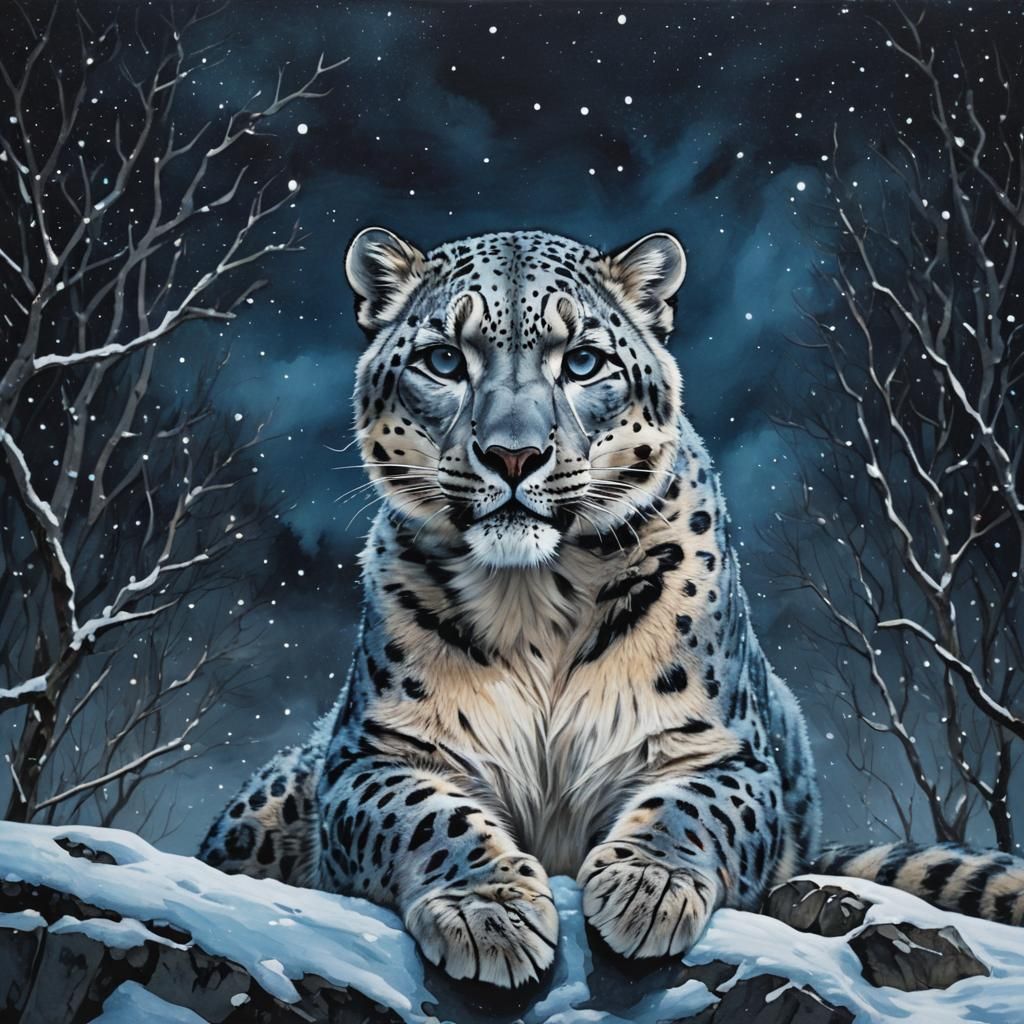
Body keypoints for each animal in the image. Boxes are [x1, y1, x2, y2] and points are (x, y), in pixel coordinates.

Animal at [200, 226, 1024, 989]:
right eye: (445, 361)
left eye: (583, 361)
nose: (513, 455)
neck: (532, 600)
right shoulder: (377, 751)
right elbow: (429, 815)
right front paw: (489, 911)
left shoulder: (722, 747)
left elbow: (694, 804)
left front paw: (647, 887)